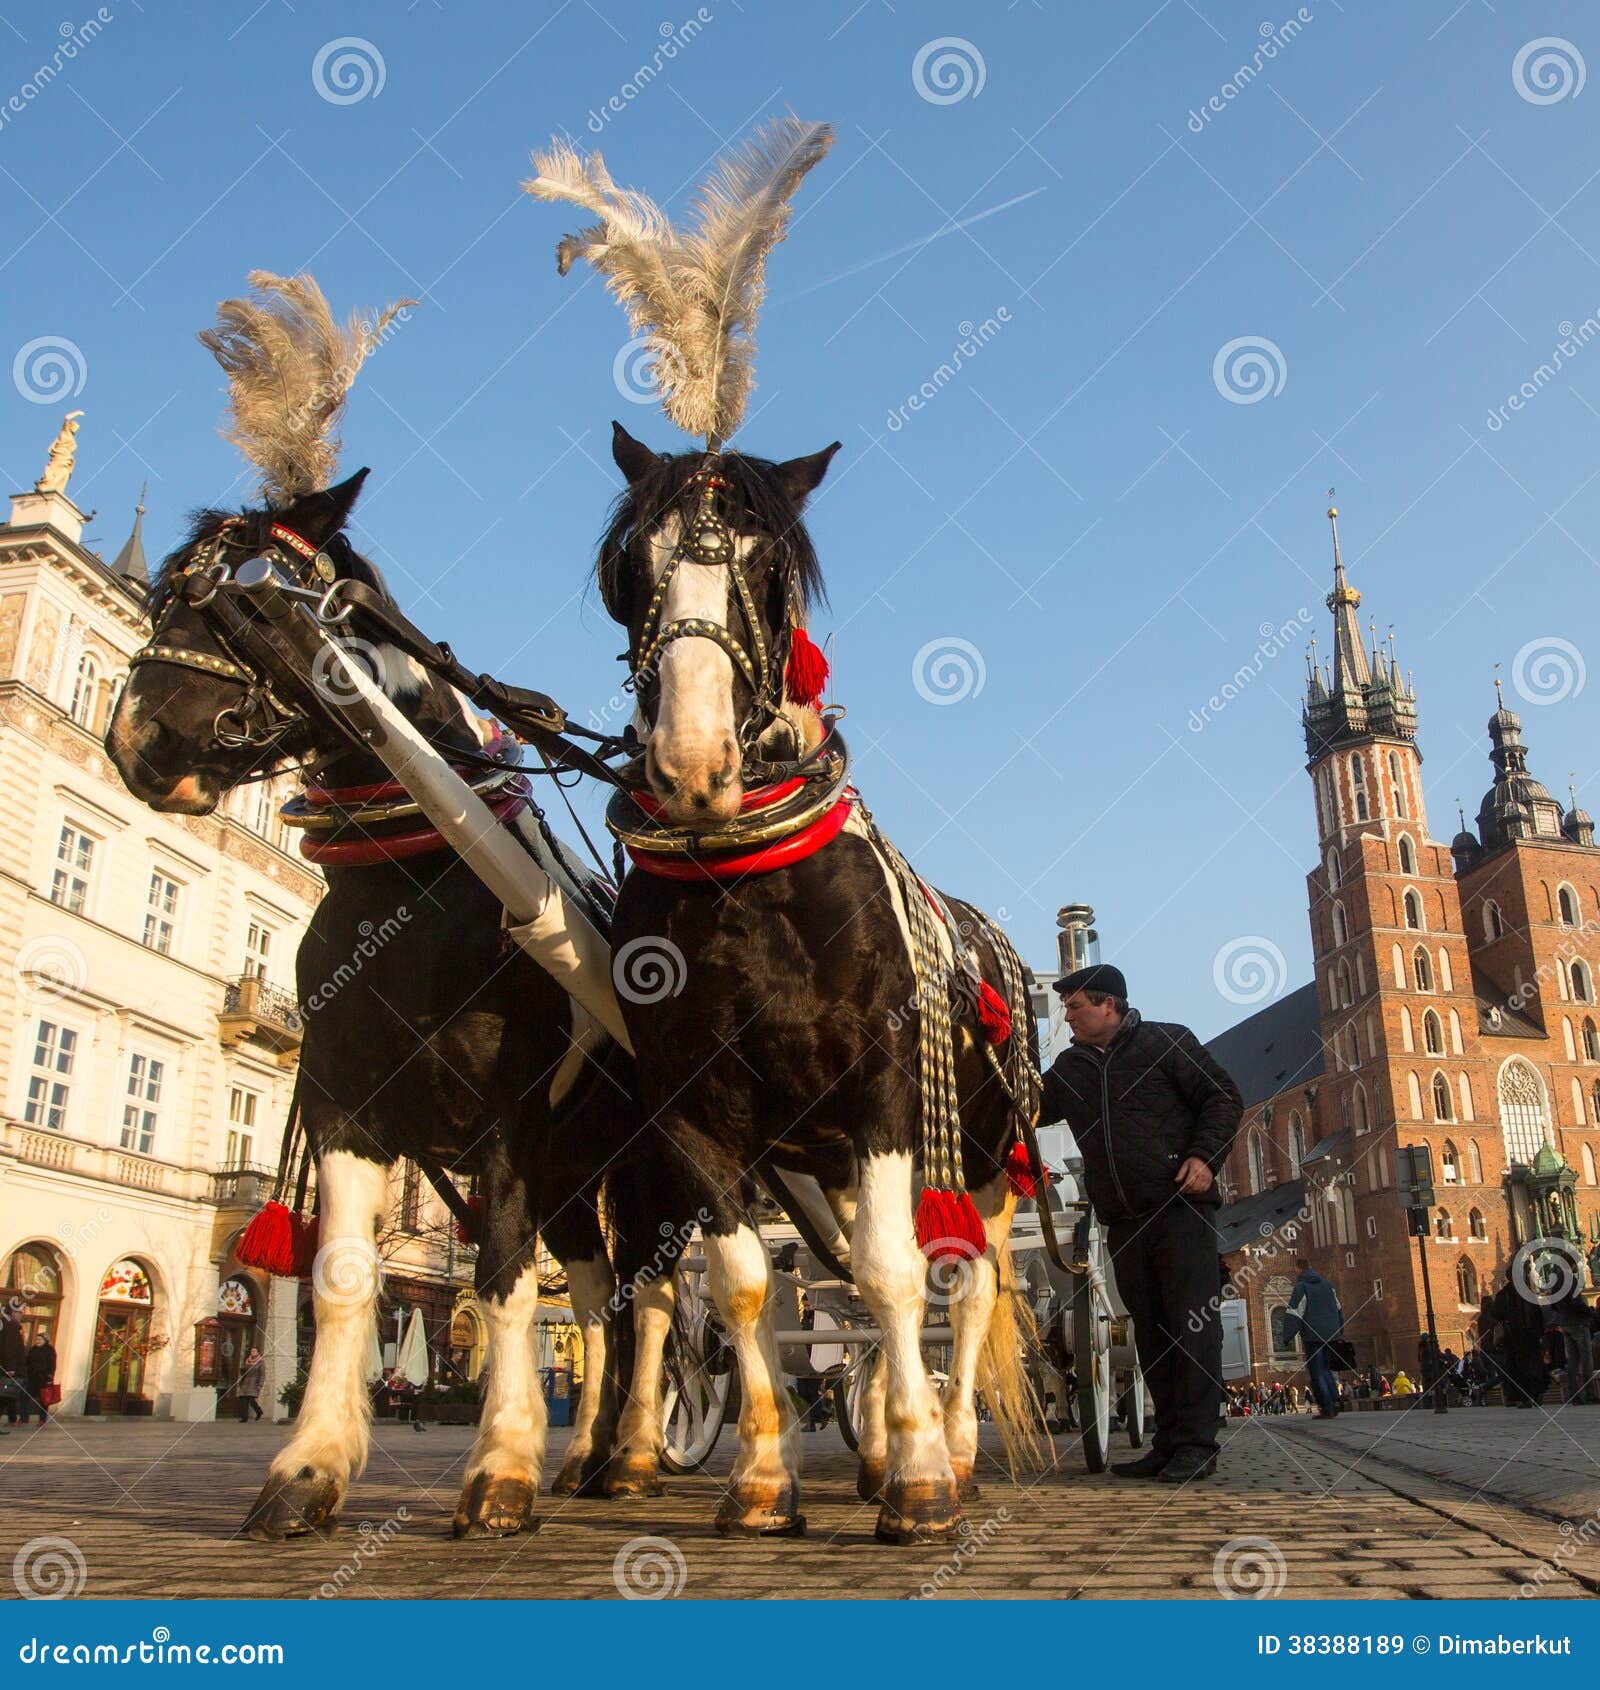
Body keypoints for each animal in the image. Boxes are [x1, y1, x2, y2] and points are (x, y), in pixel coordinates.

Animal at [104, 469, 682, 1541]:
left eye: (249, 591)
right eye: (164, 597)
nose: (140, 738)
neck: (409, 885)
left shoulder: (507, 1126)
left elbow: (499, 1283)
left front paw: (501, 1466)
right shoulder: (348, 1110)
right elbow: (339, 1284)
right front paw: (308, 1468)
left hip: (644, 1166)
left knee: (654, 1294)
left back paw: (633, 1452)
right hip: (574, 1177)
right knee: (595, 1302)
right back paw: (587, 1453)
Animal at [598, 425, 1040, 1548]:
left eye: (771, 572)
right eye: (627, 572)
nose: (693, 763)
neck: (744, 884)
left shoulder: (884, 1089)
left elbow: (895, 1273)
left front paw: (923, 1480)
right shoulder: (692, 1110)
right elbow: (749, 1287)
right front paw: (763, 1480)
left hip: (981, 1156)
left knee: (964, 1285)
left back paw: (949, 1445)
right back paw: (880, 1437)